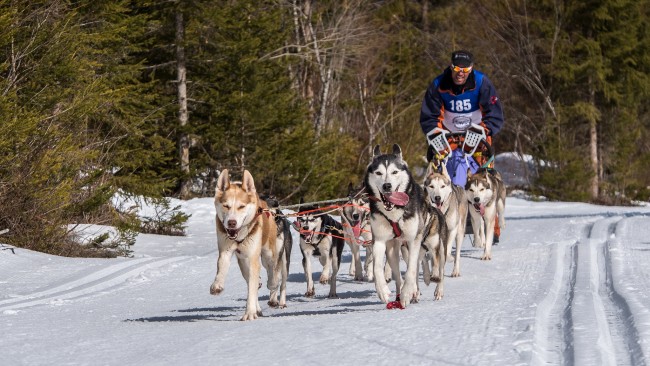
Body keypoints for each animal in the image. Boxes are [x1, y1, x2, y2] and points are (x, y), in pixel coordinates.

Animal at [210, 169, 286, 320]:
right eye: (226, 206)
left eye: (241, 206)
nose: (231, 223)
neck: (239, 236)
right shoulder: (225, 251)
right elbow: (222, 267)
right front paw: (217, 285)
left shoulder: (254, 258)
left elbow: (262, 281)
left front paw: (249, 312)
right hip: (243, 261)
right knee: (252, 281)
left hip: (266, 253)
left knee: (270, 271)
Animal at [362, 143, 448, 306]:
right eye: (378, 173)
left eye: (394, 172)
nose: (387, 186)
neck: (395, 212)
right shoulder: (380, 240)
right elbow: (377, 268)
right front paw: (382, 290)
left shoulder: (413, 240)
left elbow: (411, 271)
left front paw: (407, 292)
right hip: (393, 251)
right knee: (398, 273)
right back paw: (403, 292)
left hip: (435, 246)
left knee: (437, 268)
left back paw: (434, 289)